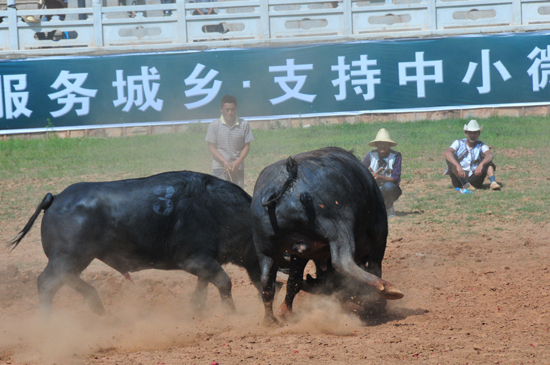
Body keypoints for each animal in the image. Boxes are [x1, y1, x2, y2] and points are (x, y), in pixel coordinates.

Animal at [8, 172, 264, 314]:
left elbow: (204, 288)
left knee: (68, 280)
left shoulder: (204, 261)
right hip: (66, 258)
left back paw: (97, 306)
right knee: (47, 283)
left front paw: (197, 309)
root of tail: (56, 198)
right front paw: (231, 314)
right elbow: (224, 282)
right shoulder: (193, 259)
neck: (217, 209)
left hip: (74, 260)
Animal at [252, 146, 404, 322]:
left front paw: (285, 310)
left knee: (266, 282)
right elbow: (373, 265)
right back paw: (387, 288)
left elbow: (294, 281)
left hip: (266, 250)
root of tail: (282, 185)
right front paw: (376, 302)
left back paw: (270, 320)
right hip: (340, 228)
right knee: (342, 262)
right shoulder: (378, 237)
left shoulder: (300, 252)